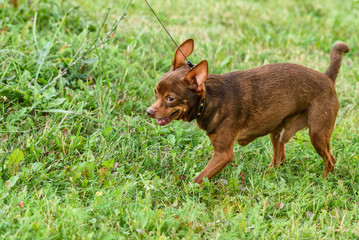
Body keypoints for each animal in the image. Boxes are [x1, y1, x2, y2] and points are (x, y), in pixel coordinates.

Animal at [146, 39, 348, 184]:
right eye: (155, 92)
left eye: (170, 99)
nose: (148, 111)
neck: (208, 99)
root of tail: (327, 78)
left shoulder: (223, 155)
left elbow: (198, 178)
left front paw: (184, 191)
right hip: (278, 130)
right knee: (279, 159)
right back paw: (268, 175)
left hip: (317, 134)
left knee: (330, 161)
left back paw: (322, 182)